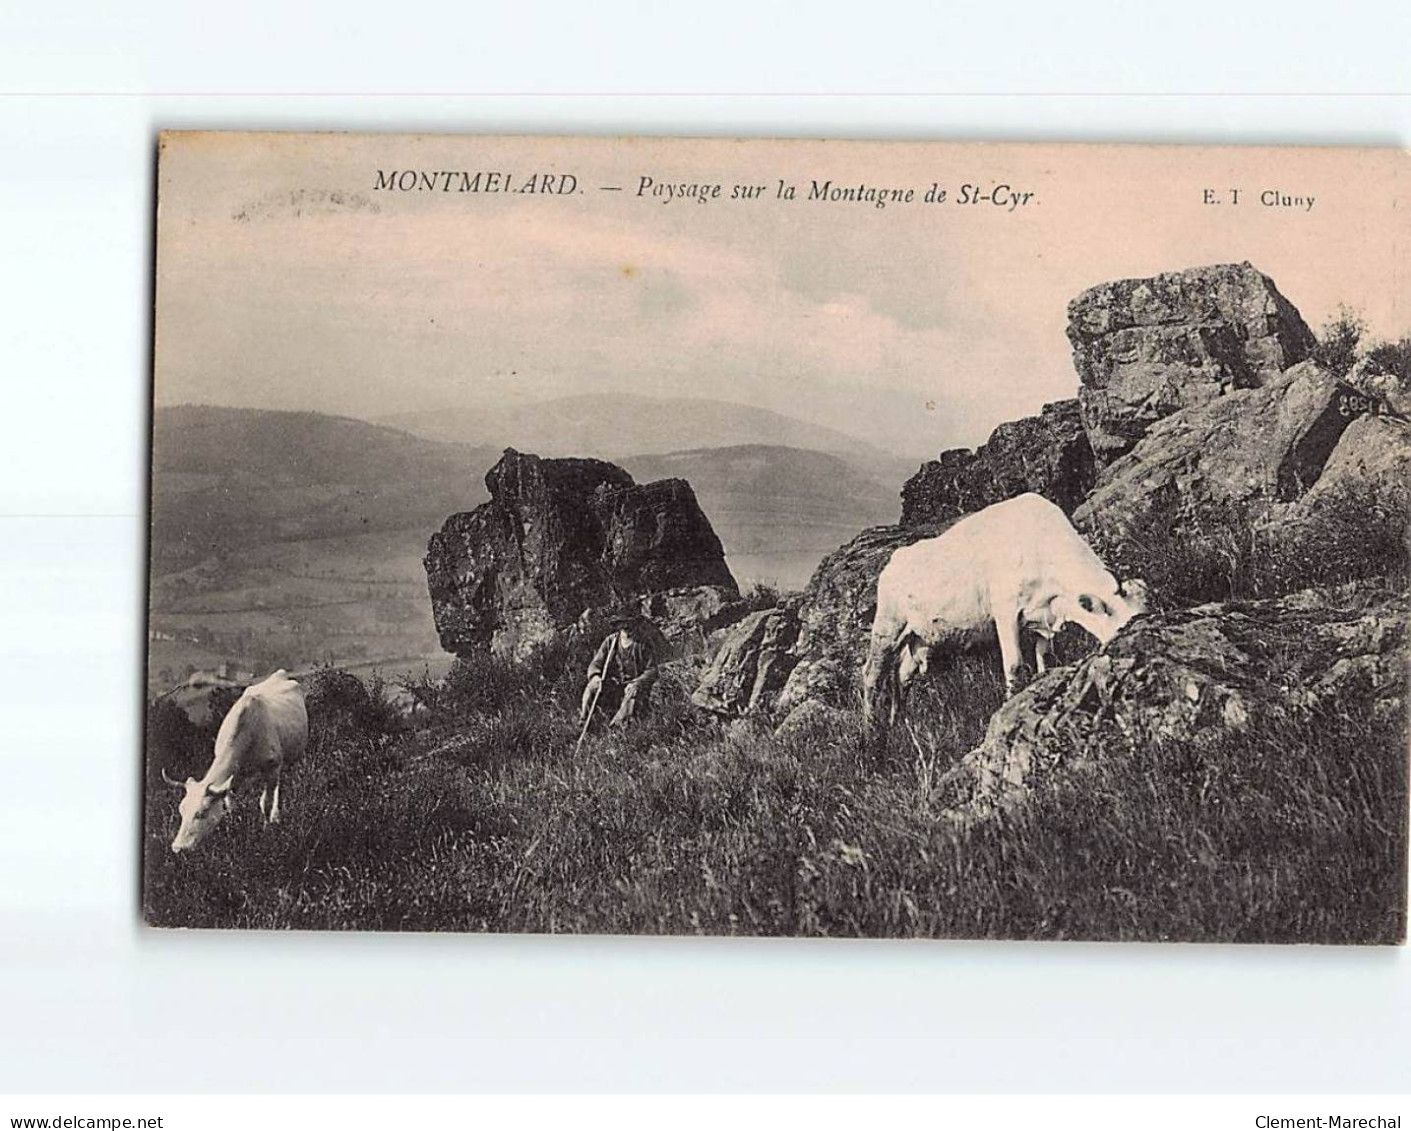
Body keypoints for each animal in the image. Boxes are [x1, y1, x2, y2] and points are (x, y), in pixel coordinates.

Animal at [165, 671, 309, 846]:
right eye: (182, 809)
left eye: (202, 812)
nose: (178, 847)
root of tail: (279, 674)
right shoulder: (230, 780)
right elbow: (231, 806)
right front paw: (233, 830)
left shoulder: (272, 767)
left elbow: (266, 803)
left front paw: (267, 830)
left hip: (292, 757)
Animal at [857, 490, 1145, 722]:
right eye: (1122, 629)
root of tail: (895, 559)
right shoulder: (1006, 611)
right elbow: (1014, 665)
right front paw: (1009, 703)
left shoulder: (1044, 615)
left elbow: (1044, 655)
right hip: (888, 626)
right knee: (871, 674)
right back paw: (871, 730)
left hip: (920, 638)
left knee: (901, 677)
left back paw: (897, 724)